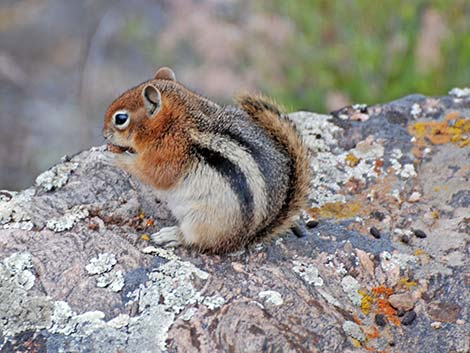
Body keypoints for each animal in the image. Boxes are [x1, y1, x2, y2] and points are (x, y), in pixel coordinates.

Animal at [103, 66, 310, 253]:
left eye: (120, 119)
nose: (104, 134)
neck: (174, 121)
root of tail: (246, 238)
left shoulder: (168, 155)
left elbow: (151, 173)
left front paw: (113, 157)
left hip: (201, 220)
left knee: (195, 240)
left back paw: (171, 235)